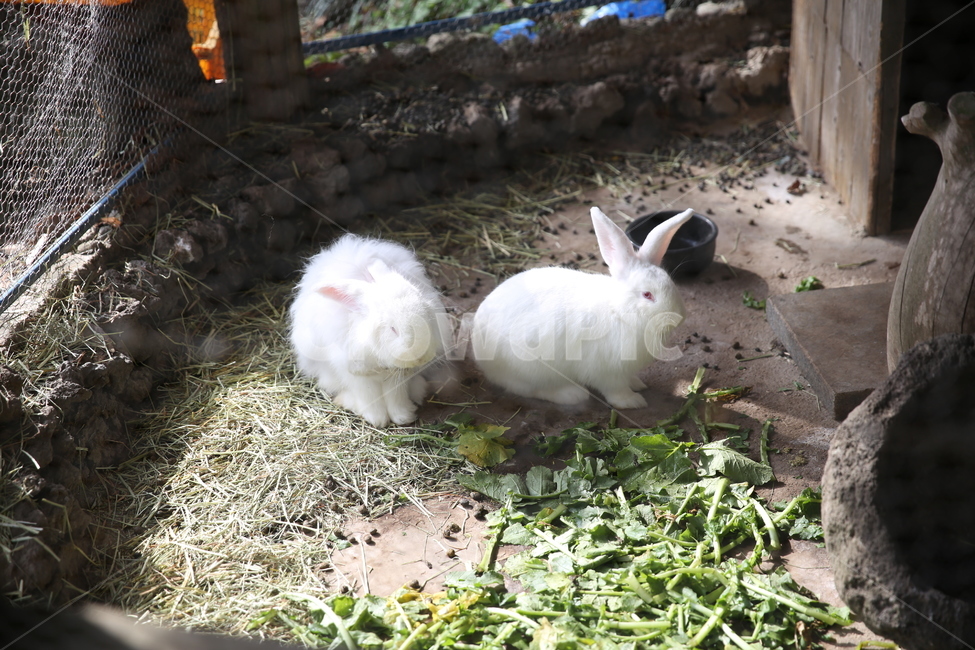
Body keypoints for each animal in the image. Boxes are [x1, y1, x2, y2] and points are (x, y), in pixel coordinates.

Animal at [289, 234, 448, 427]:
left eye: (427, 313)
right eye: (393, 329)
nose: (422, 357)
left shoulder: (397, 375)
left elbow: (396, 396)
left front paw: (402, 417)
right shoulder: (356, 374)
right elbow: (369, 396)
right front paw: (377, 419)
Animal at [471, 207, 693, 409]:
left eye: (671, 284)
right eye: (647, 295)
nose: (679, 317)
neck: (619, 311)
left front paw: (637, 384)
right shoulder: (607, 372)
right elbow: (615, 391)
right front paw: (632, 402)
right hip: (533, 369)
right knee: (530, 389)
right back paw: (572, 394)